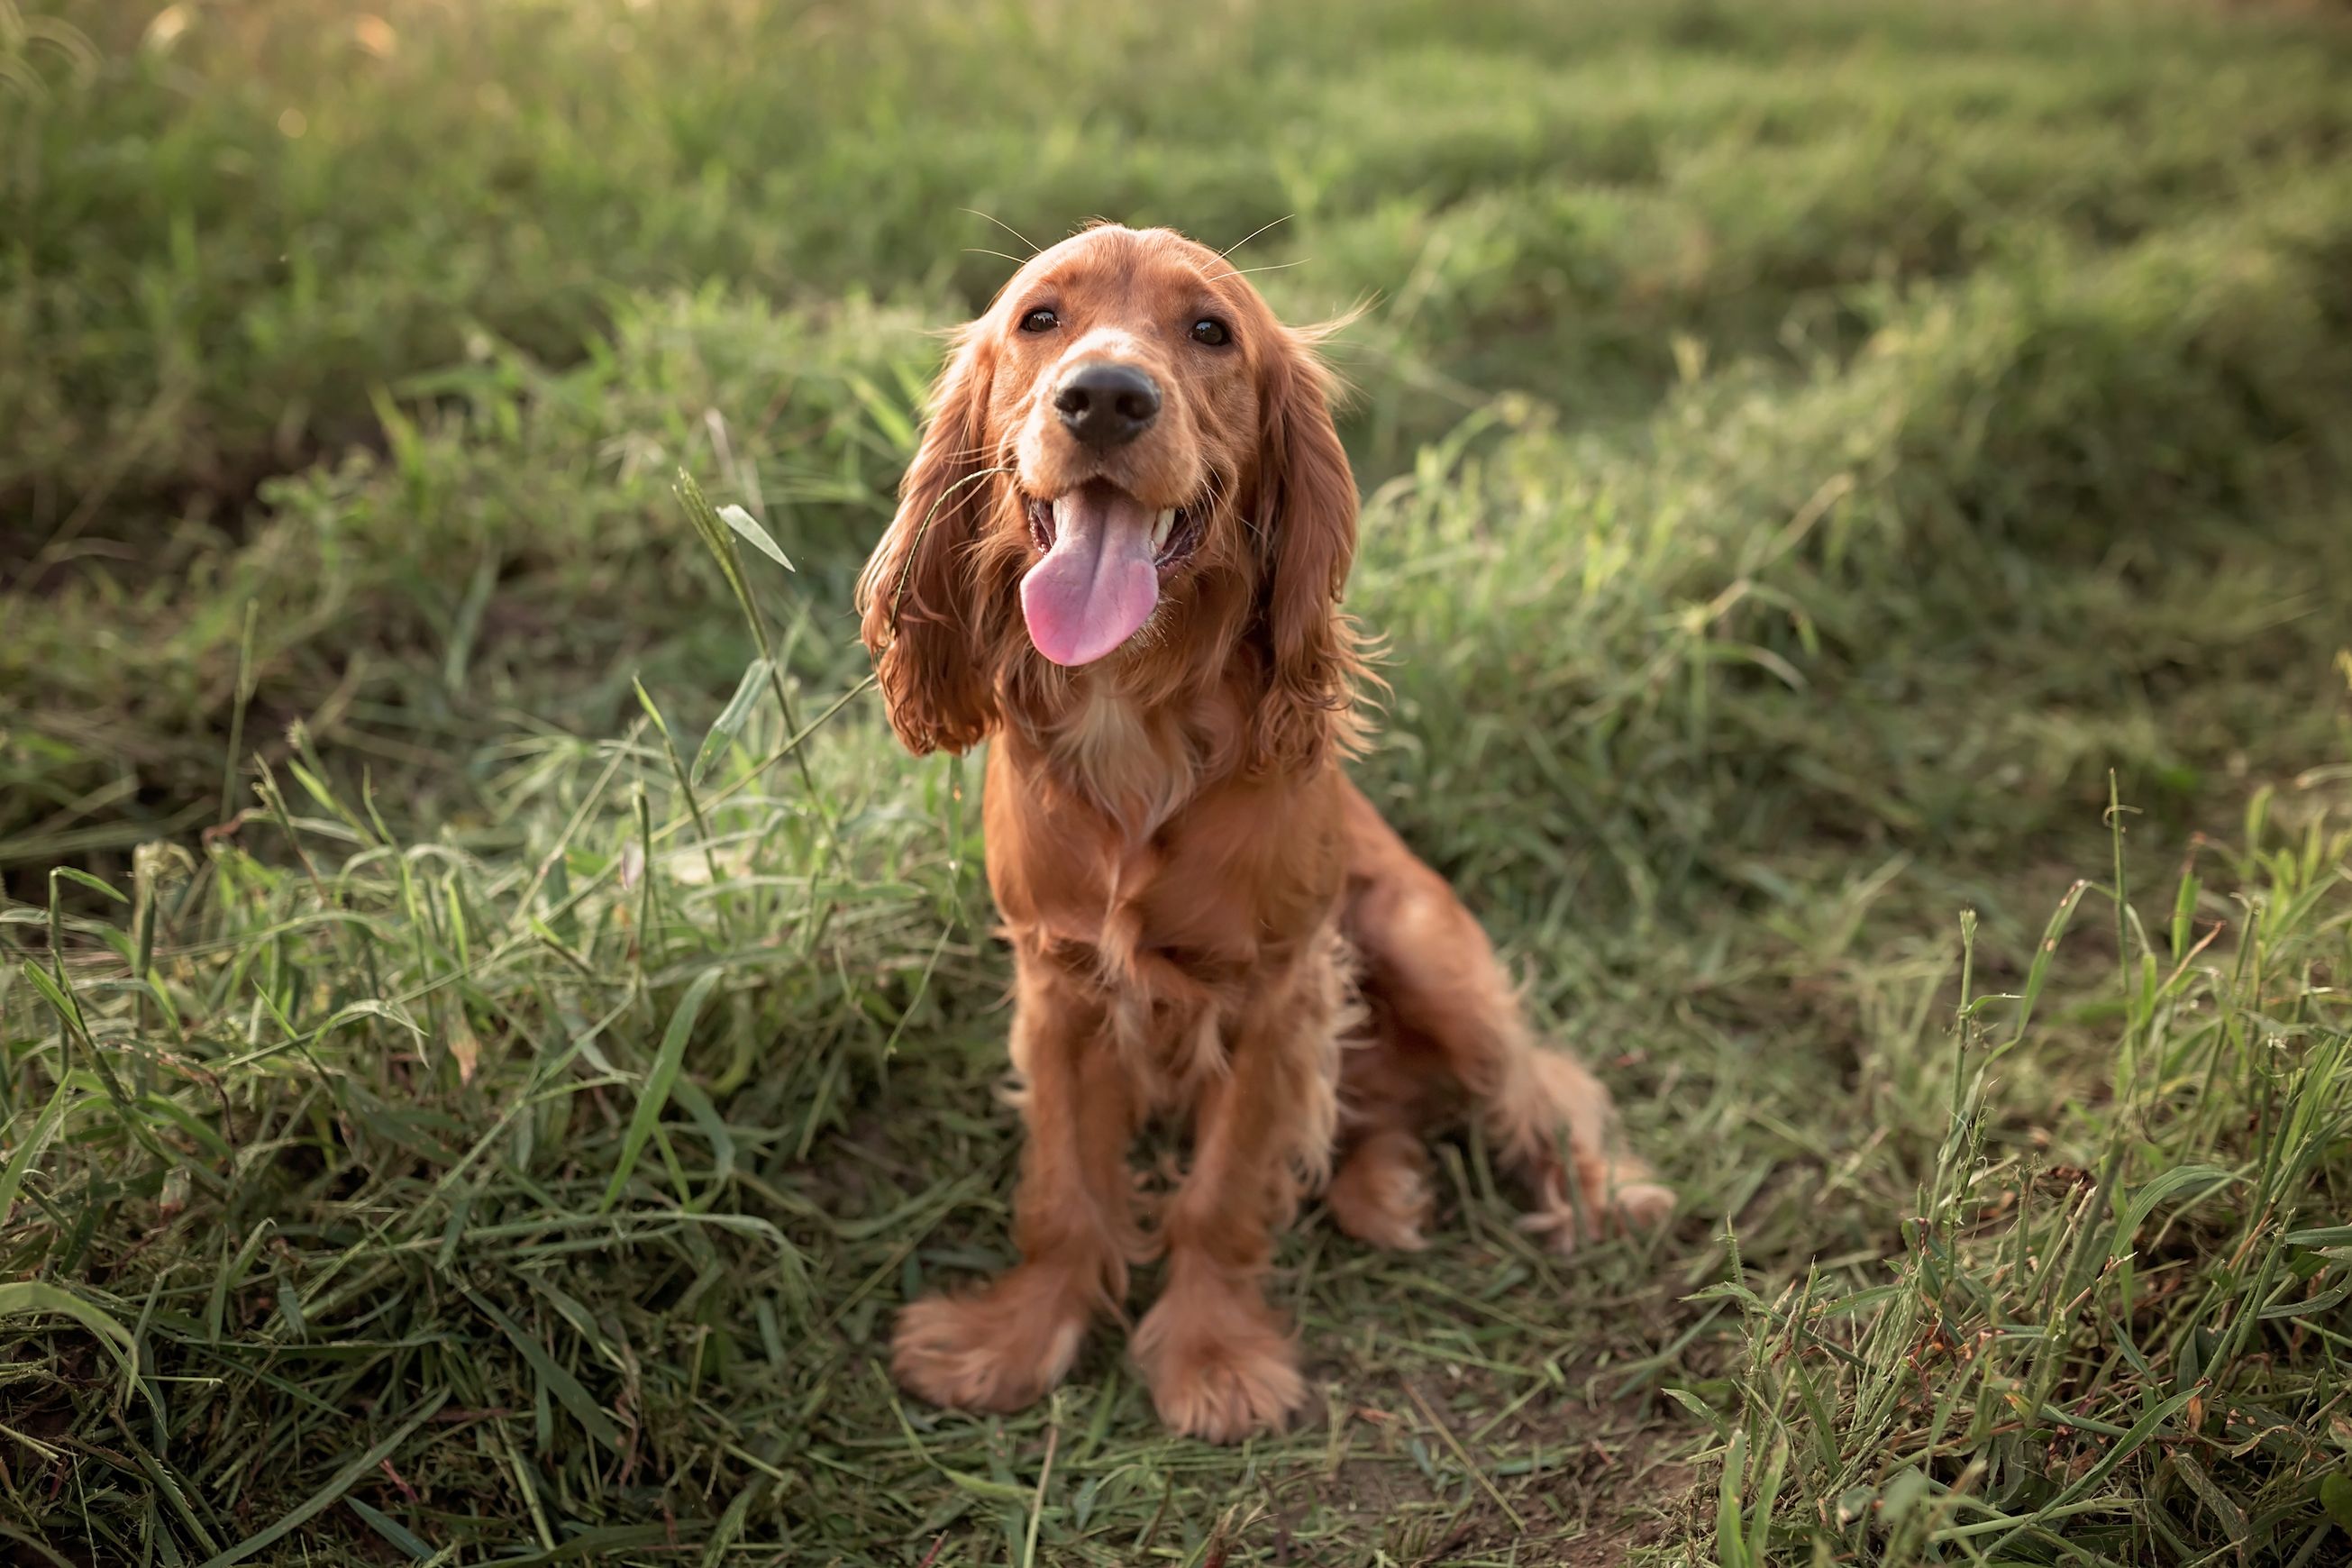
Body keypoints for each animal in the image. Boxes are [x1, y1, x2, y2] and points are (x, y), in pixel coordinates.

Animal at [856, 223, 1664, 1447]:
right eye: (1039, 319)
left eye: (1209, 331)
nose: (1105, 397)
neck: (1133, 720)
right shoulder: (1058, 988)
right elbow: (1063, 1189)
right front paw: (1014, 1341)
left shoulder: (1276, 995)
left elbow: (1224, 1194)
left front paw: (1213, 1359)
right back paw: (1388, 1186)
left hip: (1429, 955)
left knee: (1540, 1083)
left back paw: (1600, 1192)